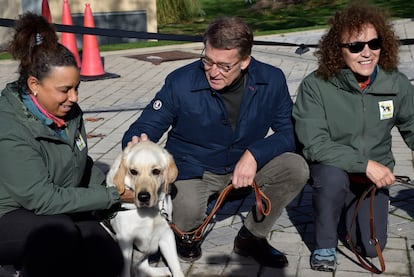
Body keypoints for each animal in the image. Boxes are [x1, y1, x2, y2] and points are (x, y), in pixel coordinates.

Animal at [106, 140, 184, 276]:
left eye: (156, 171)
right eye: (133, 171)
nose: (143, 197)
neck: (149, 211)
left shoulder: (167, 234)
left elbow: (176, 266)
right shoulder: (125, 240)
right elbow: (125, 272)